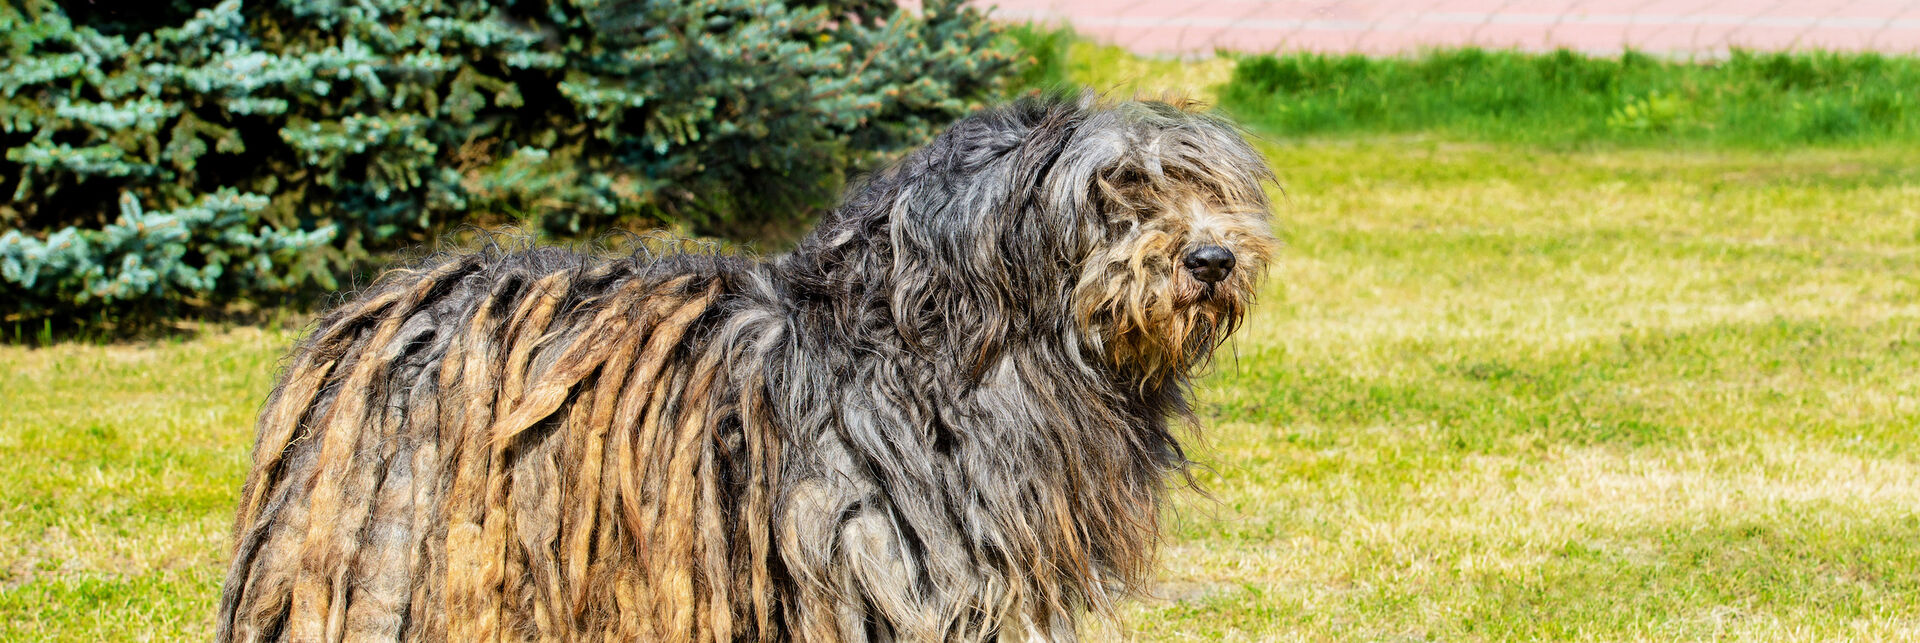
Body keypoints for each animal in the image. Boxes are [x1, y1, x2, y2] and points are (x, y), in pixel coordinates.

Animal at [214, 95, 1274, 643]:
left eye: (1203, 186)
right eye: (1115, 191)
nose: (1212, 259)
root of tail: (375, 312)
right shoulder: (877, 554)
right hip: (397, 546)